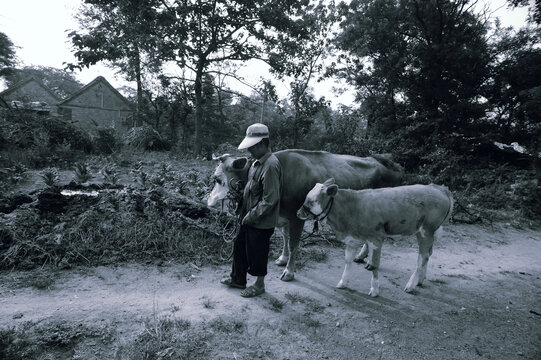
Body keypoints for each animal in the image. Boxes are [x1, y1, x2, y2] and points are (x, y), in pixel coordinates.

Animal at [205, 149, 402, 282]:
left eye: (218, 179)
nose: (208, 202)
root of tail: (387, 162)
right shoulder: (282, 217)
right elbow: (285, 239)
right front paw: (282, 259)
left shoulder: (296, 217)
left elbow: (293, 244)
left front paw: (289, 272)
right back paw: (362, 256)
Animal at [296, 179, 452, 296]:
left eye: (311, 201)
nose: (298, 213)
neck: (352, 207)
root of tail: (438, 188)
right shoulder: (351, 239)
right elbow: (348, 261)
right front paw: (343, 282)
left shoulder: (376, 239)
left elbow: (374, 265)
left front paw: (375, 290)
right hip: (426, 233)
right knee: (428, 255)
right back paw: (420, 280)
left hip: (426, 231)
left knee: (422, 258)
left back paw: (411, 285)